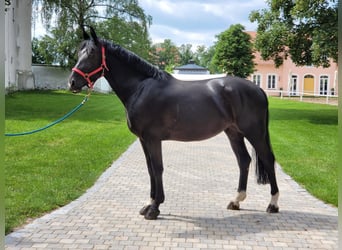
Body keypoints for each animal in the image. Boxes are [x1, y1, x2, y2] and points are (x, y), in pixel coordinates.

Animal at [68, 26, 280, 220]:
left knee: (268, 159)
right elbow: (150, 169)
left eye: (92, 53)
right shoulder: (143, 140)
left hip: (254, 133)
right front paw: (149, 204)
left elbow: (158, 168)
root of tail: (258, 90)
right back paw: (236, 201)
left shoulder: (153, 139)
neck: (141, 88)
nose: (72, 82)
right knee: (244, 160)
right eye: (79, 52)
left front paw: (154, 208)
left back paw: (273, 204)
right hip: (233, 132)